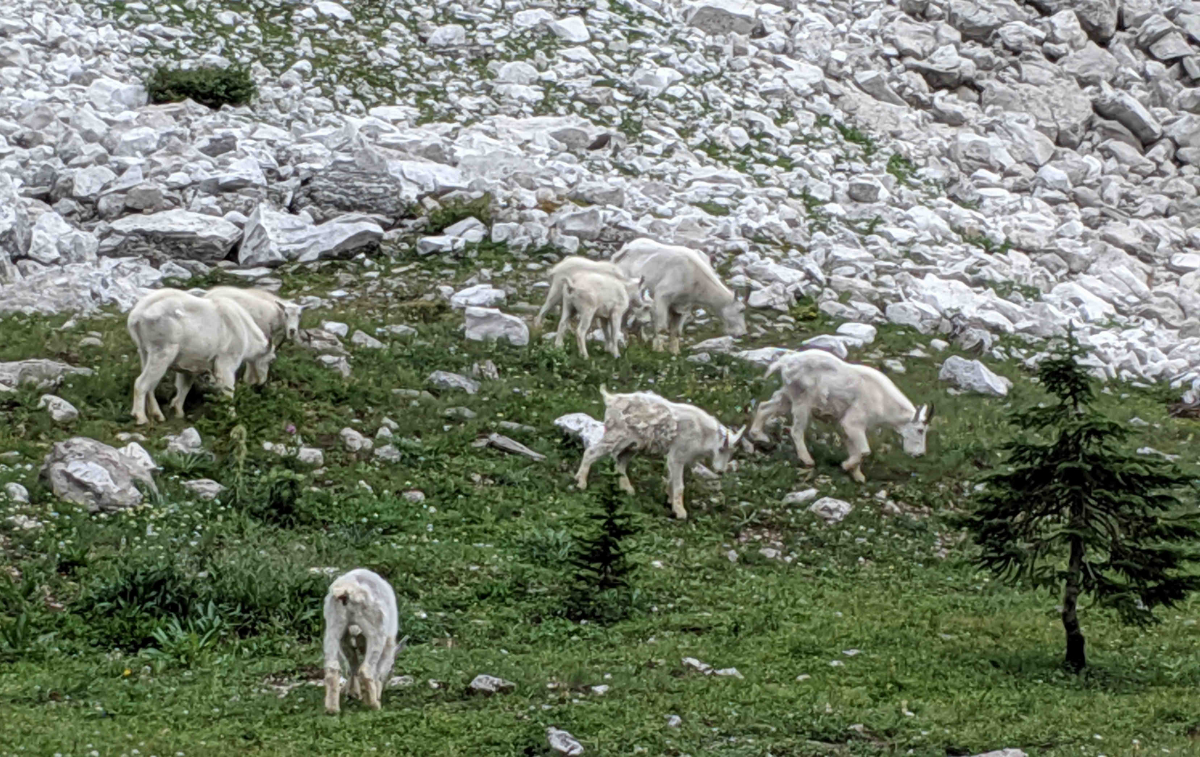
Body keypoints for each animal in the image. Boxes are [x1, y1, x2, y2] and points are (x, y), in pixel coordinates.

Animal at [324, 571, 403, 715]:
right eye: (392, 667)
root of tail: (346, 591)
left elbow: (353, 664)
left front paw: (353, 693)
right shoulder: (388, 643)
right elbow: (377, 670)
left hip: (334, 624)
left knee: (332, 666)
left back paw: (332, 709)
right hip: (375, 628)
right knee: (366, 669)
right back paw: (374, 705)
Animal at [576, 383, 744, 520]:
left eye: (731, 453)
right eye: (721, 449)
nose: (720, 471)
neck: (703, 434)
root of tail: (611, 400)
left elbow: (670, 479)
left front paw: (670, 501)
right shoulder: (678, 456)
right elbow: (679, 485)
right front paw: (680, 512)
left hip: (632, 445)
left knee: (620, 462)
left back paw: (627, 489)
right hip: (615, 436)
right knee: (591, 452)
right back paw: (581, 483)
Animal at [614, 238, 744, 355]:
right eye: (741, 310)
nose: (742, 333)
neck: (694, 276)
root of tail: (624, 249)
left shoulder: (683, 306)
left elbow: (676, 331)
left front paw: (675, 352)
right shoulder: (662, 297)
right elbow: (661, 327)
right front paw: (658, 350)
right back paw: (624, 342)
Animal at [748, 350, 936, 482]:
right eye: (920, 430)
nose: (919, 454)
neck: (882, 400)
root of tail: (785, 362)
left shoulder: (847, 427)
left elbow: (855, 449)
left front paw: (858, 476)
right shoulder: (853, 422)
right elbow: (864, 451)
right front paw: (846, 466)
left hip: (788, 394)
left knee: (765, 406)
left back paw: (759, 435)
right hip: (802, 400)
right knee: (796, 430)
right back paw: (807, 460)